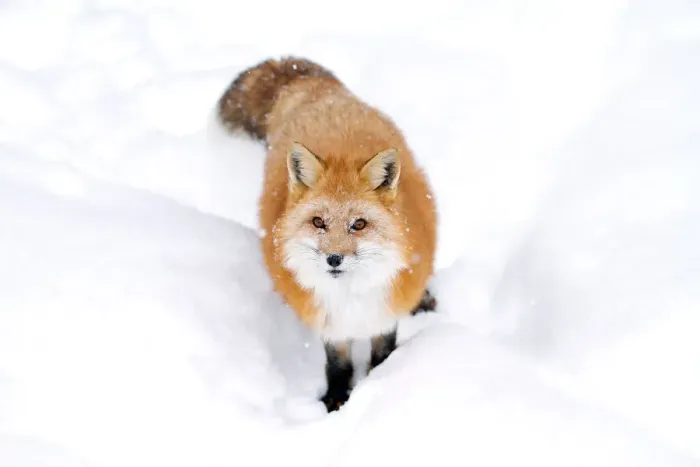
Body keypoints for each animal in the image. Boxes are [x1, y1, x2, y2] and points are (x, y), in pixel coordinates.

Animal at [216, 57, 437, 412]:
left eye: (358, 224)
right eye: (318, 222)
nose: (334, 259)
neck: (351, 297)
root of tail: (318, 92)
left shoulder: (385, 311)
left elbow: (382, 351)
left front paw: (379, 381)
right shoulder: (328, 320)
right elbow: (337, 363)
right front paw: (336, 400)